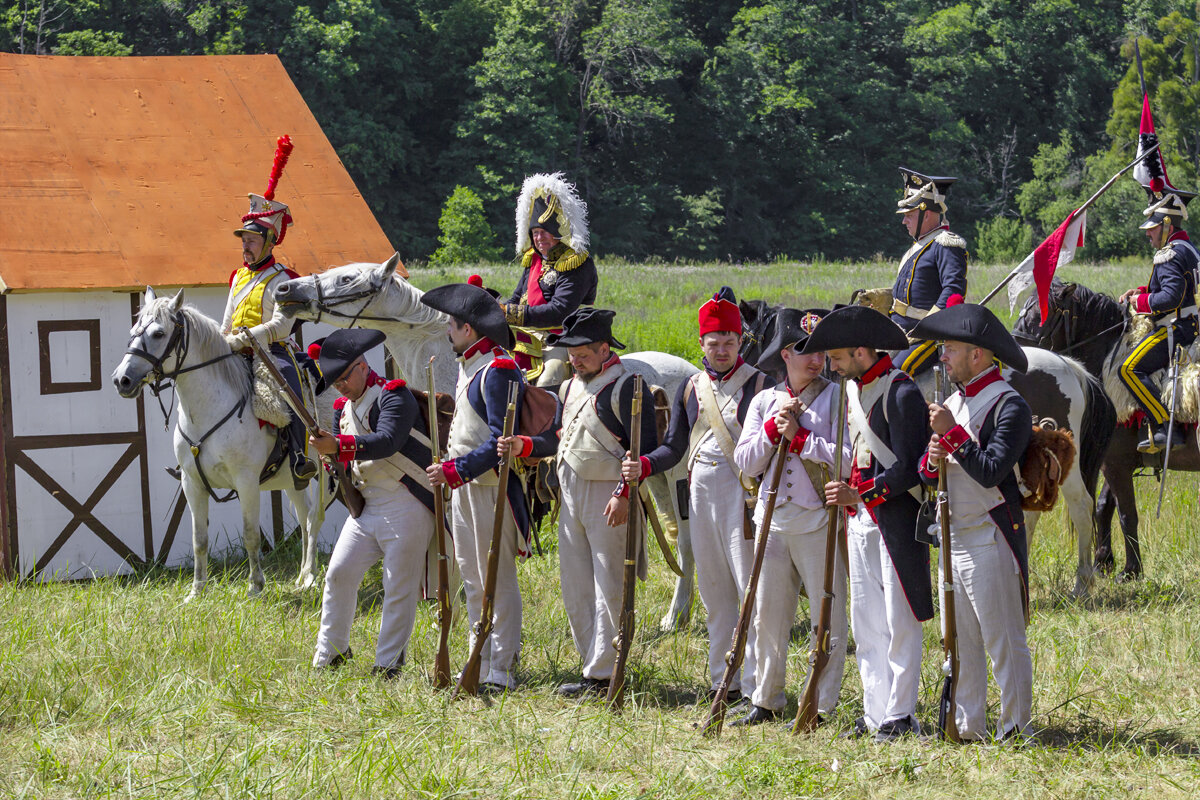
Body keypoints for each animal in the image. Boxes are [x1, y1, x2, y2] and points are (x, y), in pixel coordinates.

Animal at [112, 289, 328, 599]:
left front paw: (255, 586)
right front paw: (196, 591)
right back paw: (302, 577)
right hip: (292, 480)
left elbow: (251, 535)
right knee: (305, 516)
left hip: (327, 473)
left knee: (315, 517)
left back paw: (310, 576)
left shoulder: (247, 482)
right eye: (133, 332)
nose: (122, 380)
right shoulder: (192, 483)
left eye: (158, 333)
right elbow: (199, 538)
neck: (209, 411)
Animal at [273, 256, 700, 633]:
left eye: (346, 278)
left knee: (687, 542)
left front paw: (456, 608)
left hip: (676, 477)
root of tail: (691, 372)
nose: (284, 290)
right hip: (655, 479)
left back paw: (675, 615)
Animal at [1008, 281, 1195, 582]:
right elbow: (1104, 507)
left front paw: (1131, 570)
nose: (1017, 357)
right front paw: (1103, 562)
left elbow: (1126, 514)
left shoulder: (1116, 463)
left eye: (1042, 314)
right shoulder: (1115, 462)